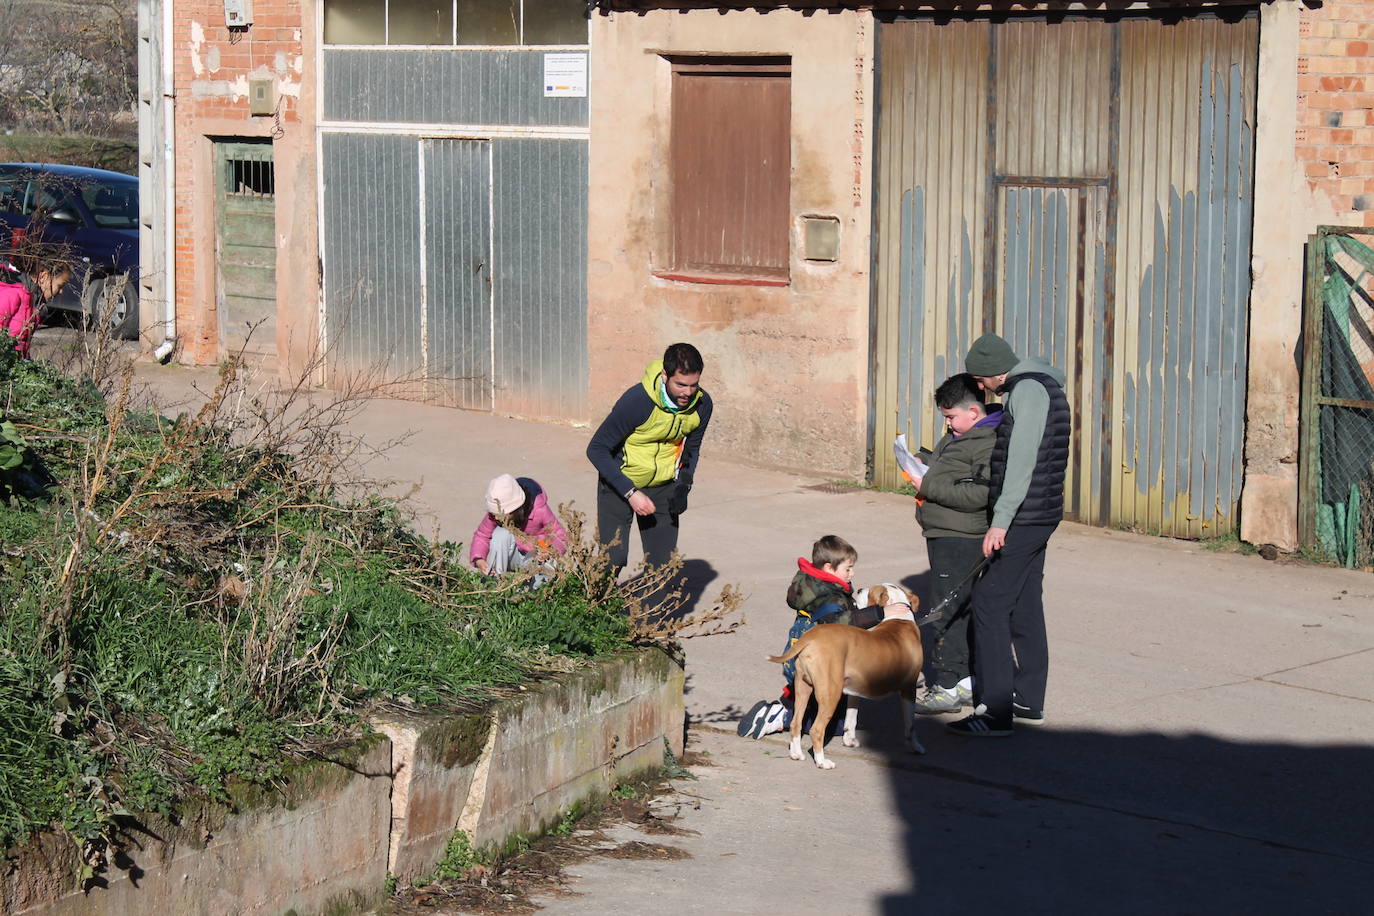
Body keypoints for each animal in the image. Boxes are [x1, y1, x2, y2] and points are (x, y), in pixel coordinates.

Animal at [769, 587, 928, 769]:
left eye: (869, 591)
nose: (859, 589)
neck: (898, 619)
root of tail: (811, 637)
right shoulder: (909, 689)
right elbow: (910, 725)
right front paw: (916, 747)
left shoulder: (855, 690)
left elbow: (851, 718)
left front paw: (850, 740)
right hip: (830, 694)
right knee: (816, 730)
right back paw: (822, 761)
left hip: (803, 688)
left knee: (796, 723)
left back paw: (796, 754)